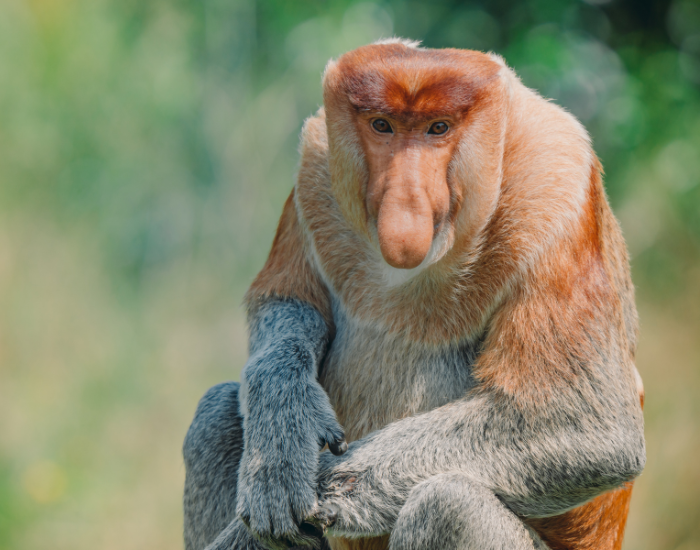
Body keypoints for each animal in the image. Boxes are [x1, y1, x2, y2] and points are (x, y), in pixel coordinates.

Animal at [183, 39, 646, 550]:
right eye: (382, 125)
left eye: (437, 128)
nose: (405, 200)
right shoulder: (315, 168)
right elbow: (287, 303)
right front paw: (282, 444)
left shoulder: (557, 188)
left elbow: (590, 429)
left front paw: (326, 486)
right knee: (216, 412)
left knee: (447, 505)